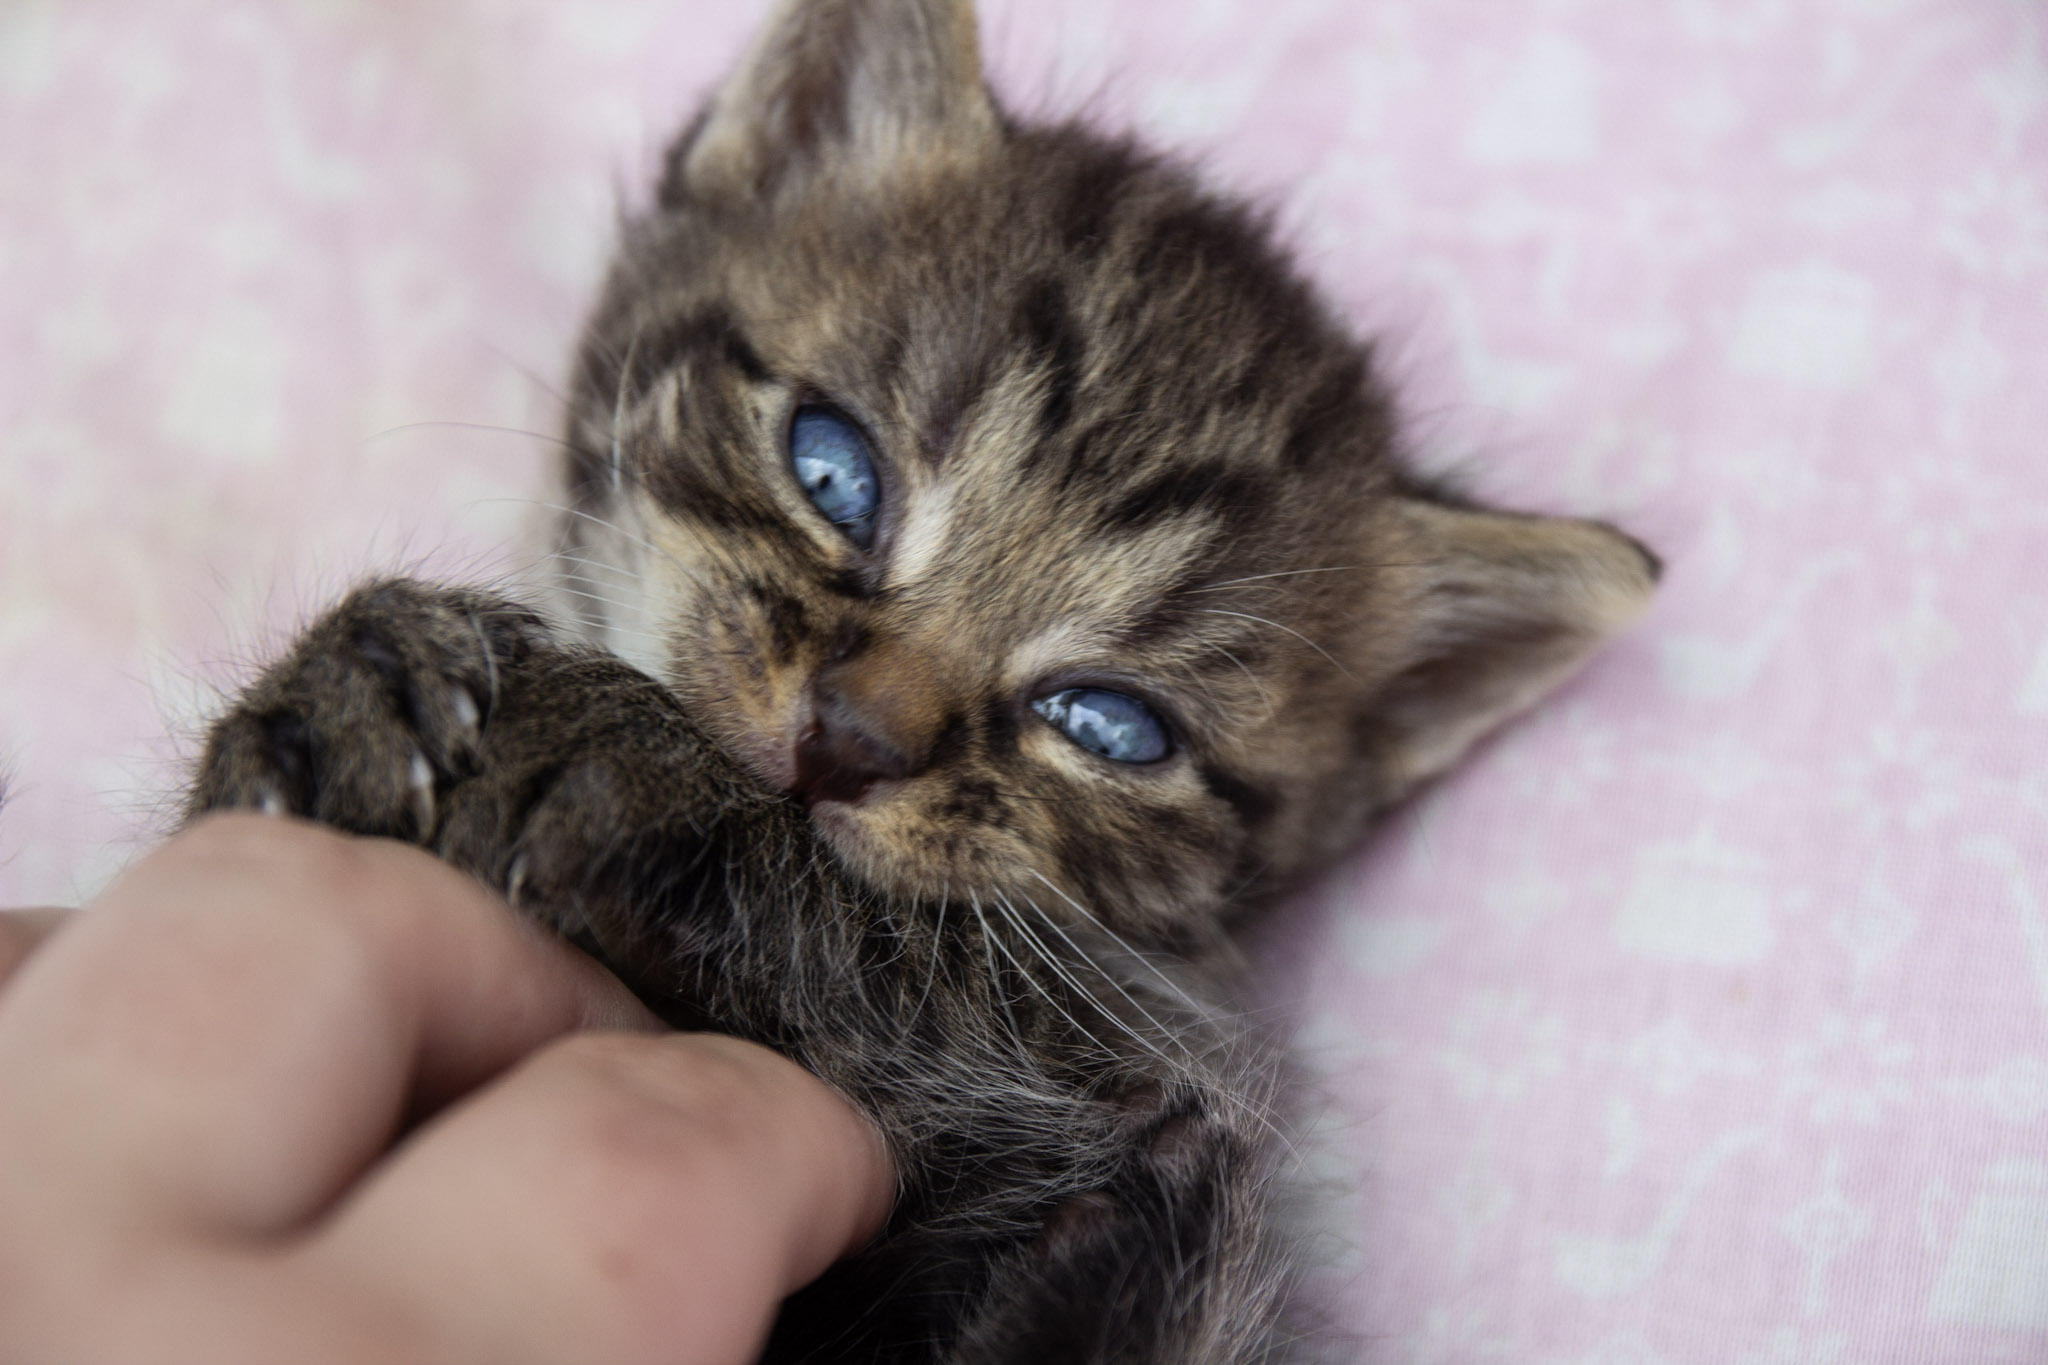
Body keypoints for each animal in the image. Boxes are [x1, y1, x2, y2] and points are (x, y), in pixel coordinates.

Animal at [188, 0, 1658, 1359]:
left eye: (1108, 722)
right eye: (832, 468)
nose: (846, 740)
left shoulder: (1113, 1033)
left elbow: (903, 936)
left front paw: (638, 771)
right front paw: (355, 680)